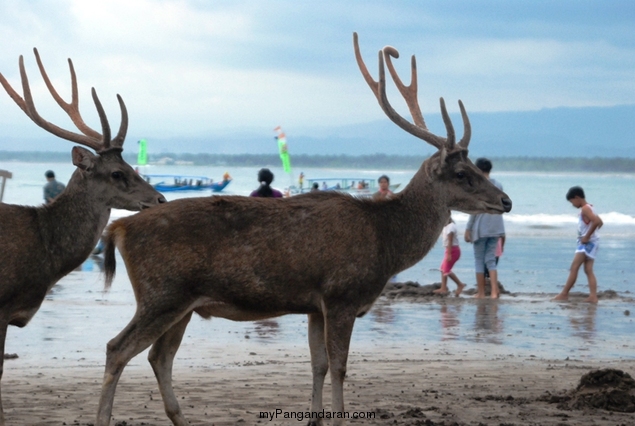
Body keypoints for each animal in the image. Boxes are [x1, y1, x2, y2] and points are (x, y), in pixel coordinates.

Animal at [93, 34, 512, 426]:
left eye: (475, 167)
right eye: (462, 173)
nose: (506, 201)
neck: (386, 244)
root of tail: (119, 227)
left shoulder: (315, 305)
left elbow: (319, 364)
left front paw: (314, 417)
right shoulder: (342, 294)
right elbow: (341, 366)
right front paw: (338, 417)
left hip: (181, 303)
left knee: (158, 357)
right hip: (163, 293)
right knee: (117, 348)